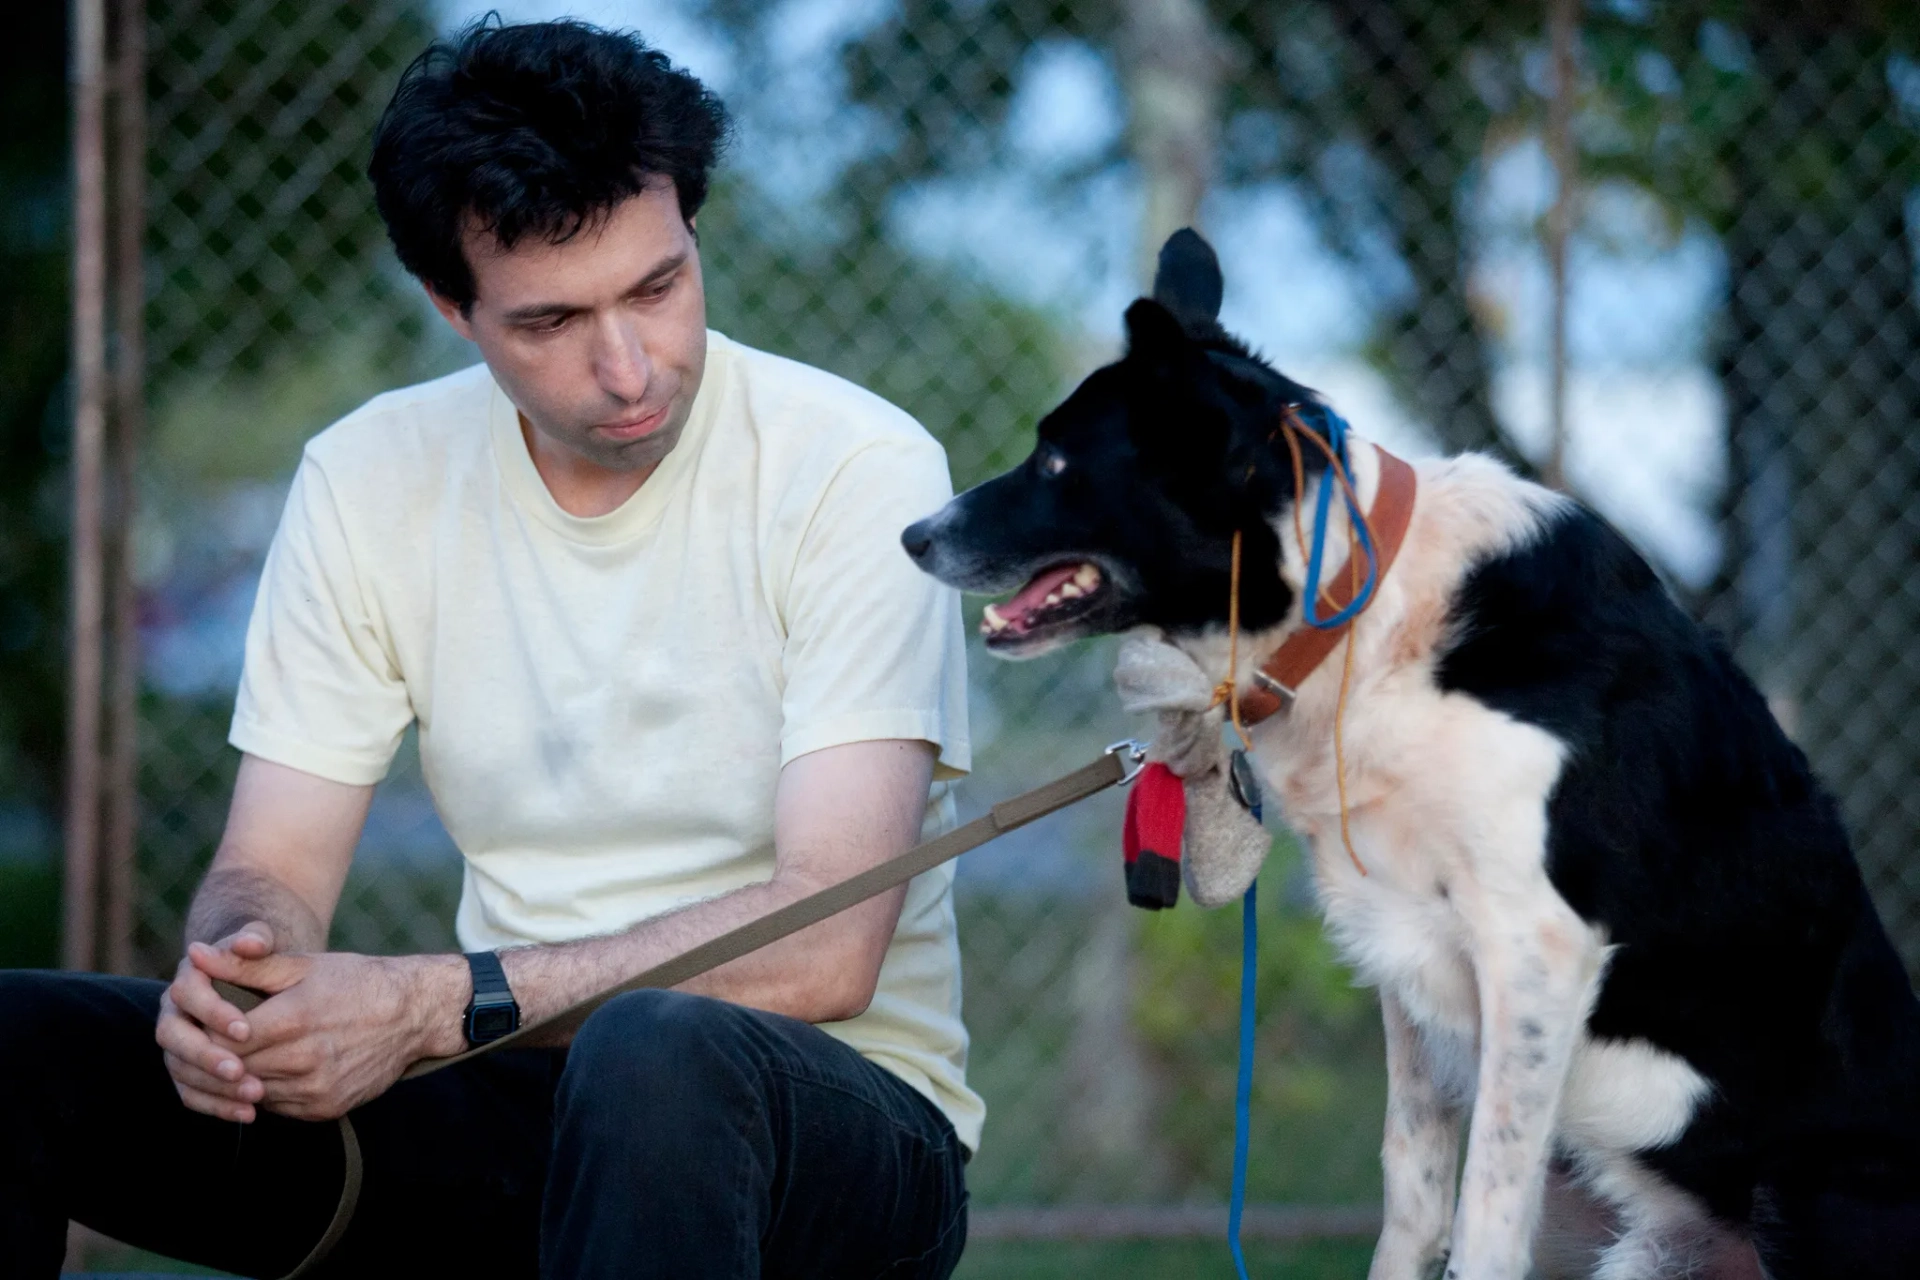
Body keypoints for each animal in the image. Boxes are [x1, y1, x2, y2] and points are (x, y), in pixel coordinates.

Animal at [898, 230, 1920, 1280]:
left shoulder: (1533, 951)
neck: (1359, 608)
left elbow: (1485, 1218)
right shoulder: (1413, 955)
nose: (912, 536)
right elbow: (1415, 1196)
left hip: (1793, 1197)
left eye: (1055, 461)